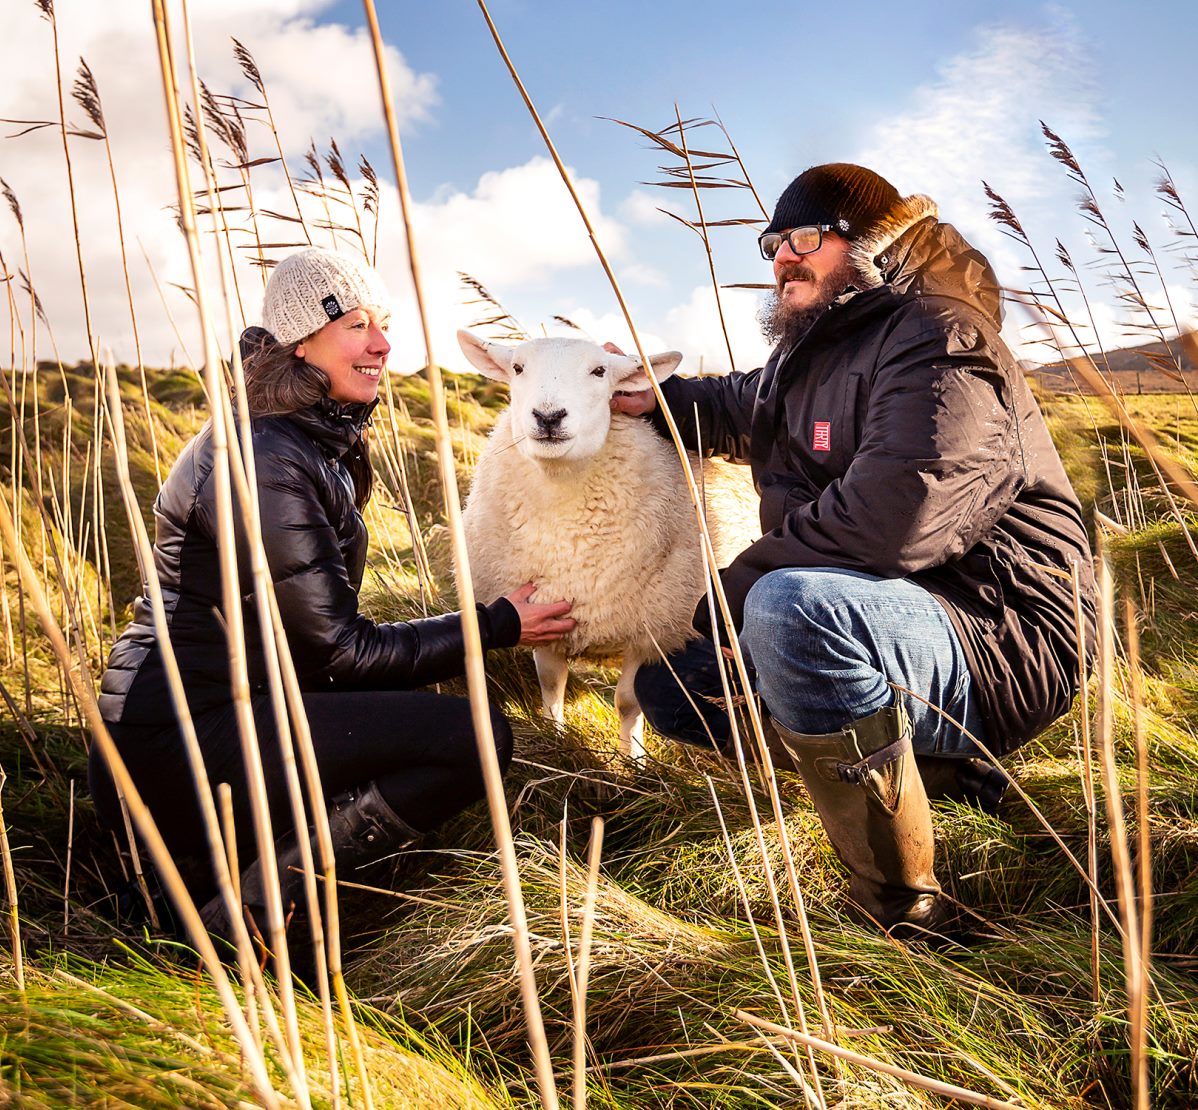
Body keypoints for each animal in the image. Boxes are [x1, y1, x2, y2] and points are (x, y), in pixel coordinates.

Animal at [456, 330, 759, 759]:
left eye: (600, 371)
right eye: (517, 367)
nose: (548, 416)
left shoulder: (652, 635)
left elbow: (628, 703)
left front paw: (634, 760)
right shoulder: (545, 614)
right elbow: (550, 683)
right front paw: (556, 738)